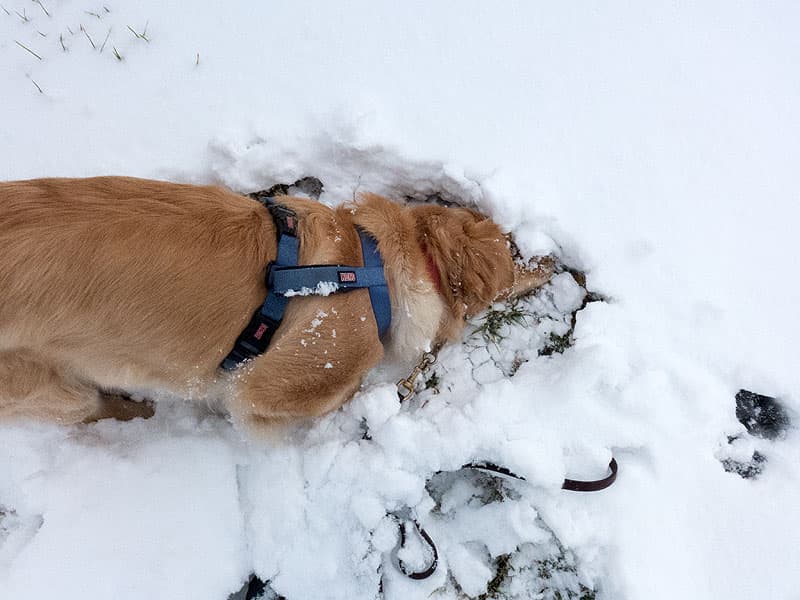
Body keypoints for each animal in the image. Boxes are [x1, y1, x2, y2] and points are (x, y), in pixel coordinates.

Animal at [0, 176, 552, 434]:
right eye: (514, 254)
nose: (553, 261)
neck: (370, 267)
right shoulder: (275, 384)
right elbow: (333, 395)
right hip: (48, 386)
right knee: (88, 408)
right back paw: (137, 410)